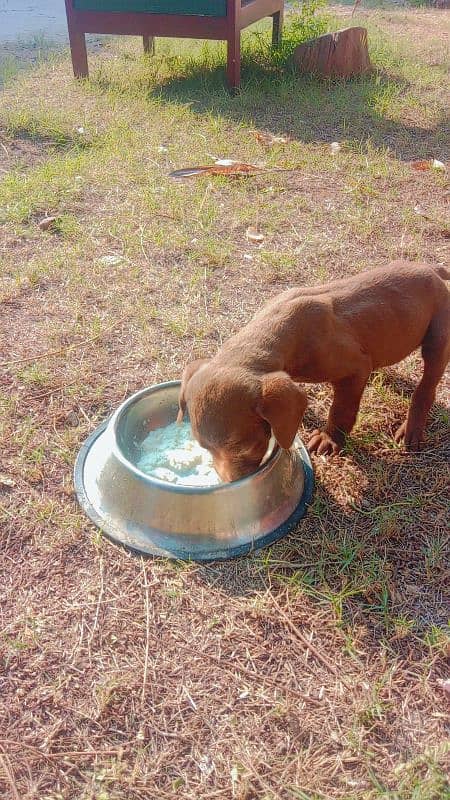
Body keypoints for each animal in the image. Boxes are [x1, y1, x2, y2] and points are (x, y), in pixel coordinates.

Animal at [178, 260, 448, 482]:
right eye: (204, 447)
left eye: (244, 448)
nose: (230, 483)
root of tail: (432, 269)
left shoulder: (355, 368)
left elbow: (341, 409)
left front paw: (330, 438)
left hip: (438, 337)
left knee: (426, 387)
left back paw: (412, 427)